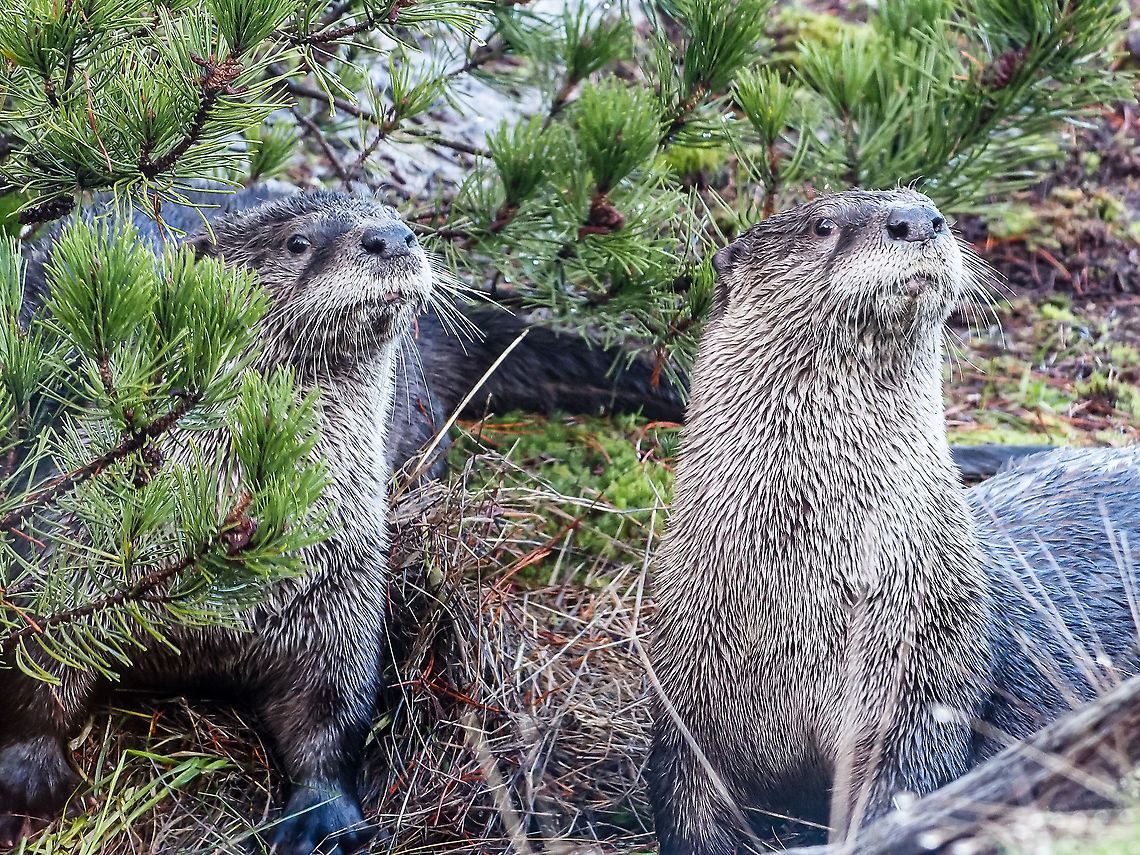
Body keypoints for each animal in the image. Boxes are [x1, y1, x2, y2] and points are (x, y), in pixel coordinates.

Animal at [647, 189, 1140, 855]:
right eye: (823, 224)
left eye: (930, 203)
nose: (920, 221)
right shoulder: (685, 693)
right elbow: (688, 804)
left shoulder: (928, 673)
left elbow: (903, 787)